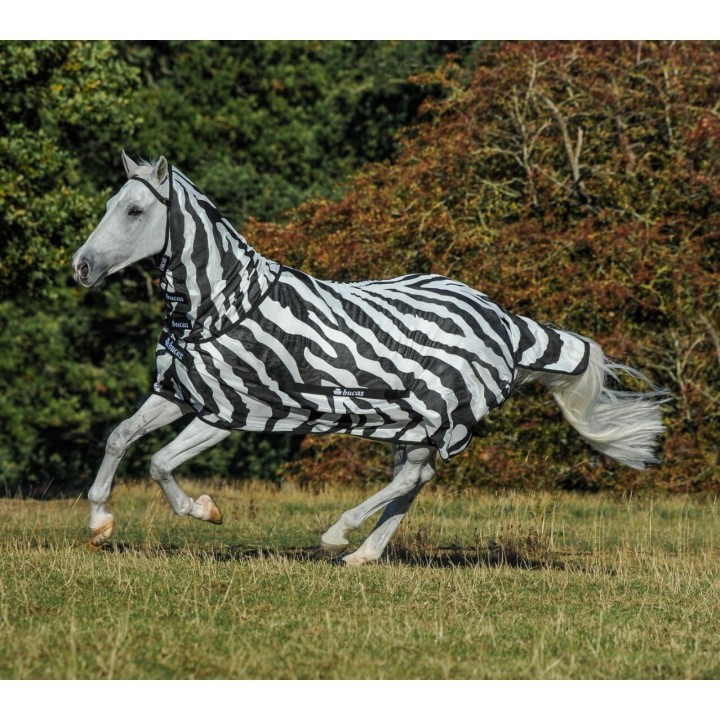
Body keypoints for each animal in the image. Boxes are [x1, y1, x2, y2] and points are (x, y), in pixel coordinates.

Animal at [71, 152, 665, 565]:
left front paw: (205, 510)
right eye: (108, 206)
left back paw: (337, 537)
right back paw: (363, 554)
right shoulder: (178, 393)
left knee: (411, 479)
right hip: (414, 422)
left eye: (135, 210)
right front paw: (100, 523)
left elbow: (158, 462)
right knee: (416, 480)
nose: (81, 267)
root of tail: (505, 322)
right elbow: (120, 438)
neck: (219, 305)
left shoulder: (230, 410)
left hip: (437, 414)